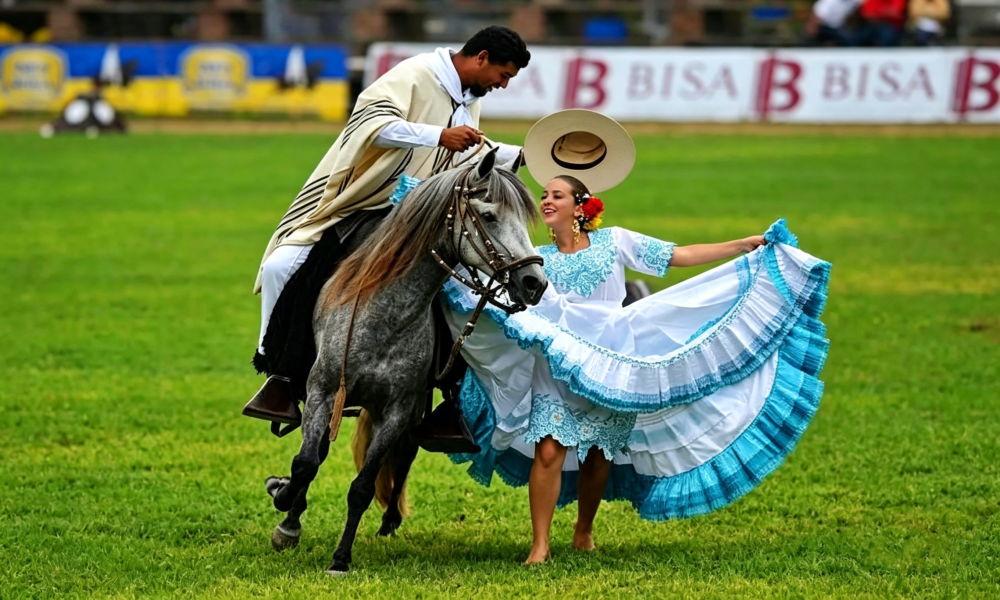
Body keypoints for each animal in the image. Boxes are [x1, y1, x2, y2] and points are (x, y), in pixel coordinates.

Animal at [263, 148, 547, 575]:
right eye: (489, 215)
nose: (534, 283)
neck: (385, 312)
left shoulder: (397, 407)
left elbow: (363, 486)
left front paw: (341, 558)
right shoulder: (323, 391)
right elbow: (307, 462)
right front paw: (285, 510)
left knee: (408, 450)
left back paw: (390, 518)